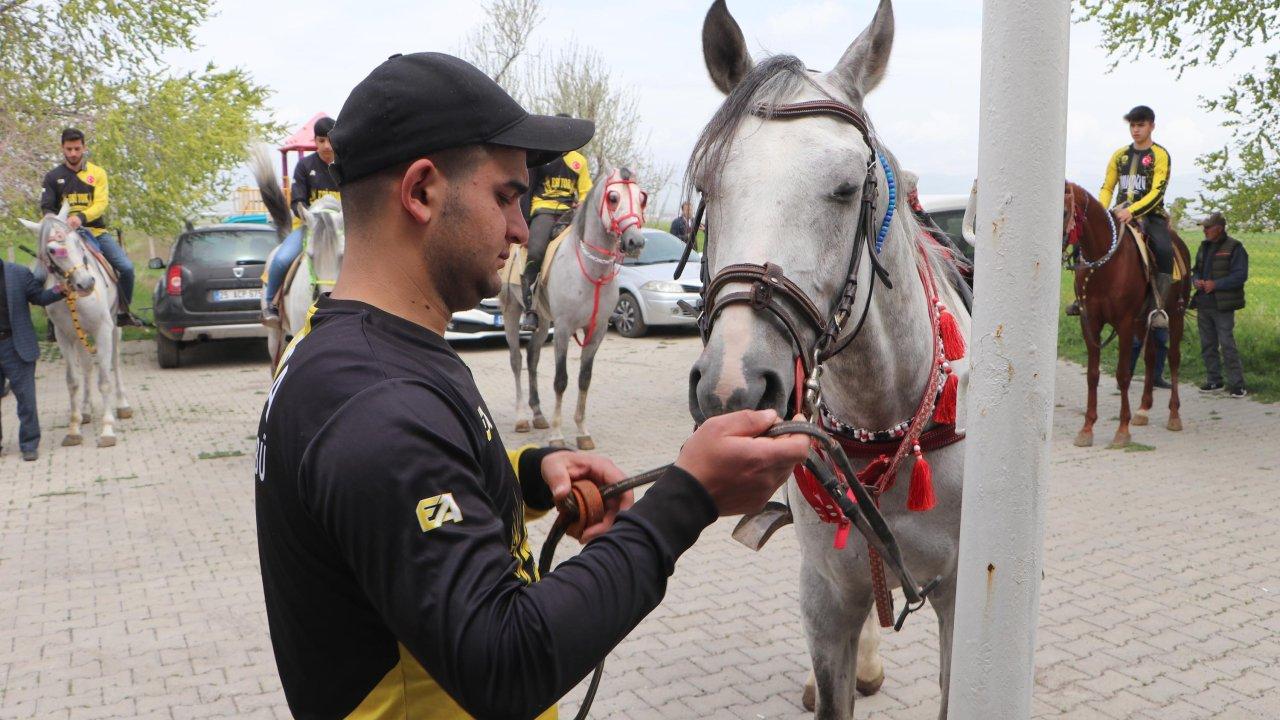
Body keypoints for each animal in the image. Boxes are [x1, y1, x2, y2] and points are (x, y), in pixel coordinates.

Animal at [20, 204, 131, 445]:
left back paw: (123, 405)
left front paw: (107, 430)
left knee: (116, 363)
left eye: (77, 243)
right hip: (80, 336)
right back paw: (86, 410)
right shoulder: (64, 336)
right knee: (88, 367)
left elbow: (105, 379)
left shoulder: (102, 330)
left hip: (115, 328)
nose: (86, 283)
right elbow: (73, 381)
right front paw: (74, 429)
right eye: (52, 250)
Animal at [494, 169, 645, 448]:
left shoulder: (596, 332)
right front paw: (556, 435)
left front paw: (582, 432)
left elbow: (584, 379)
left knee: (532, 356)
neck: (591, 269)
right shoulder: (563, 329)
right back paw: (521, 418)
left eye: (642, 197)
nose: (635, 241)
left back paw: (538, 414)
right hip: (511, 311)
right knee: (516, 360)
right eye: (613, 197)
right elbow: (561, 380)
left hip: (543, 321)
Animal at [691, 2, 967, 712]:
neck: (885, 417)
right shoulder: (823, 595)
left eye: (846, 188)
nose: (733, 386)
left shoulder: (962, 600)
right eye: (707, 183)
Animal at [1059, 181, 1187, 445]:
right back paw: (1143, 410)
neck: (1104, 265)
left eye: (1065, 211)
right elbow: (1093, 375)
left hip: (1175, 314)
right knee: (1151, 358)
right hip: (1144, 321)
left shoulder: (1124, 323)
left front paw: (1122, 430)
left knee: (1173, 359)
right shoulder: (1090, 323)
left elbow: (1123, 374)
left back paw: (1174, 415)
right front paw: (1087, 428)